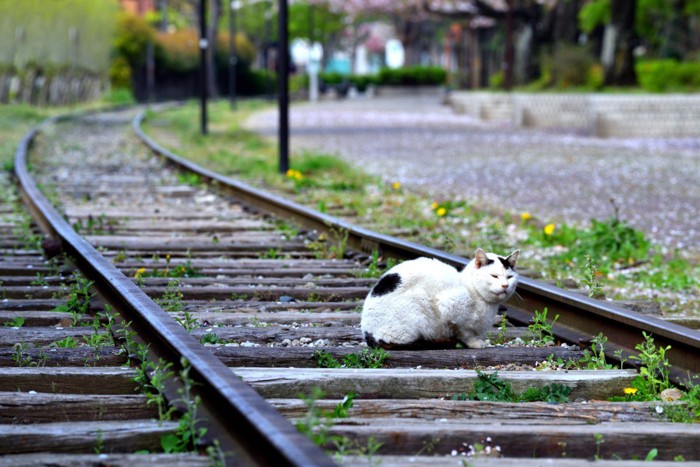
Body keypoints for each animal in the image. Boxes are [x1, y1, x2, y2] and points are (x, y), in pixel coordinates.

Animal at [364, 250, 516, 350]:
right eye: (494, 276)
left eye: (509, 277)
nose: (505, 285)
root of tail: (368, 333)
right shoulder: (449, 308)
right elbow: (465, 332)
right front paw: (475, 343)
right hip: (418, 307)